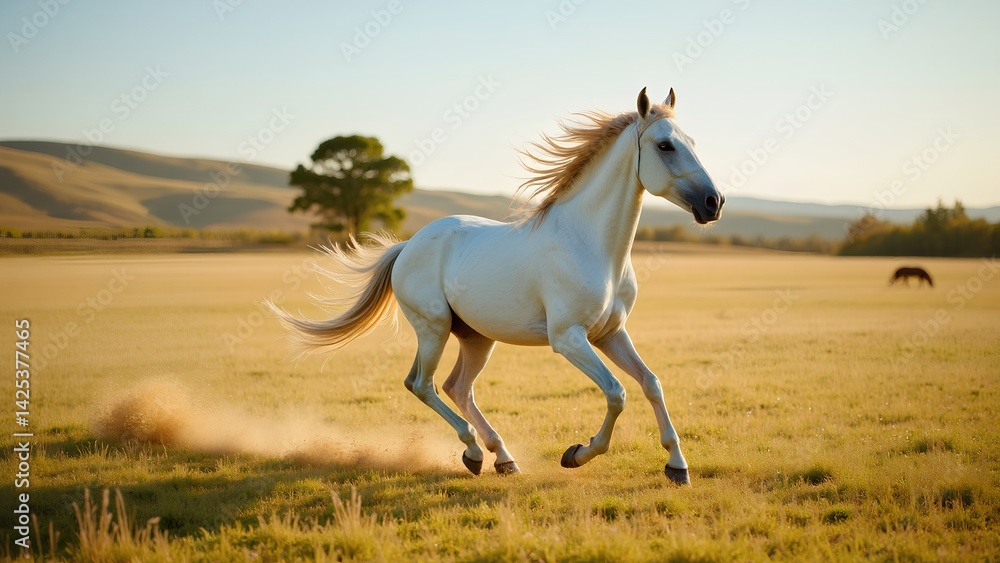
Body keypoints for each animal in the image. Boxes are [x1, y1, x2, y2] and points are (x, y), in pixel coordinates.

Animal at [269, 87, 723, 485]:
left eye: (692, 141)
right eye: (665, 145)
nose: (713, 202)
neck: (591, 244)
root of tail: (407, 246)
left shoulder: (611, 334)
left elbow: (651, 384)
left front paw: (677, 467)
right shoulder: (569, 338)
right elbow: (616, 393)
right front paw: (576, 454)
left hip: (475, 338)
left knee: (456, 387)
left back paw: (503, 458)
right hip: (433, 329)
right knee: (422, 384)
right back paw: (473, 453)